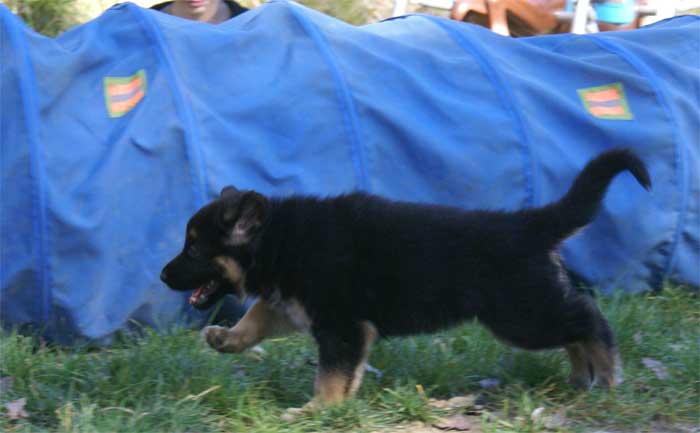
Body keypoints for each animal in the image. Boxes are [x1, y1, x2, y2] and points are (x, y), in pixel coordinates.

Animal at [160, 148, 652, 408]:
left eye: (193, 249)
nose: (163, 275)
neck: (280, 239)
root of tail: (526, 225)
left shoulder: (341, 325)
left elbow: (331, 374)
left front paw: (317, 410)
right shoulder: (299, 307)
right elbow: (258, 318)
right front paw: (226, 338)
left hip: (519, 316)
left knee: (589, 319)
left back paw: (609, 375)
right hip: (530, 311)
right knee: (574, 325)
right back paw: (581, 376)